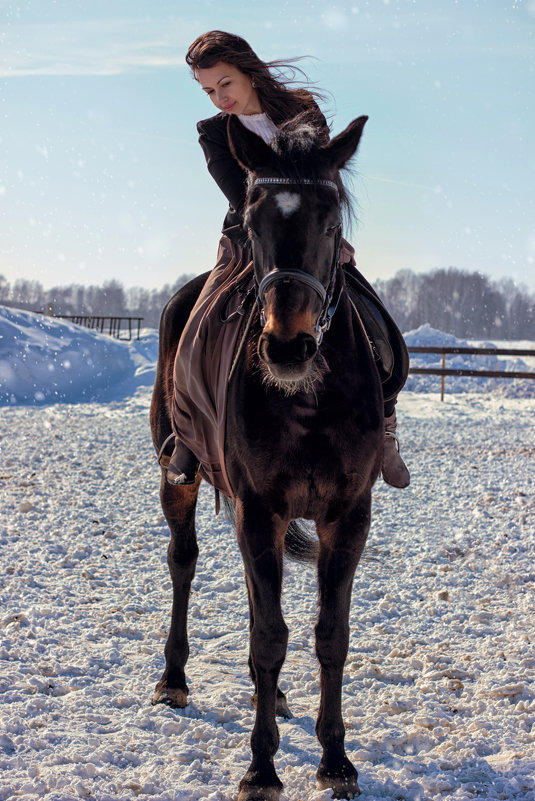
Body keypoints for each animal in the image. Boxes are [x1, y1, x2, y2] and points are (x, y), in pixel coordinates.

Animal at [151, 114, 386, 800]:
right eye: (252, 223)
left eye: (332, 222)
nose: (287, 347)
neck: (307, 397)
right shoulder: (259, 508)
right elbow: (268, 637)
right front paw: (261, 767)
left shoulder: (347, 516)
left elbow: (329, 635)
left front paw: (335, 760)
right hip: (182, 476)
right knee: (183, 562)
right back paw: (174, 678)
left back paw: (274, 699)